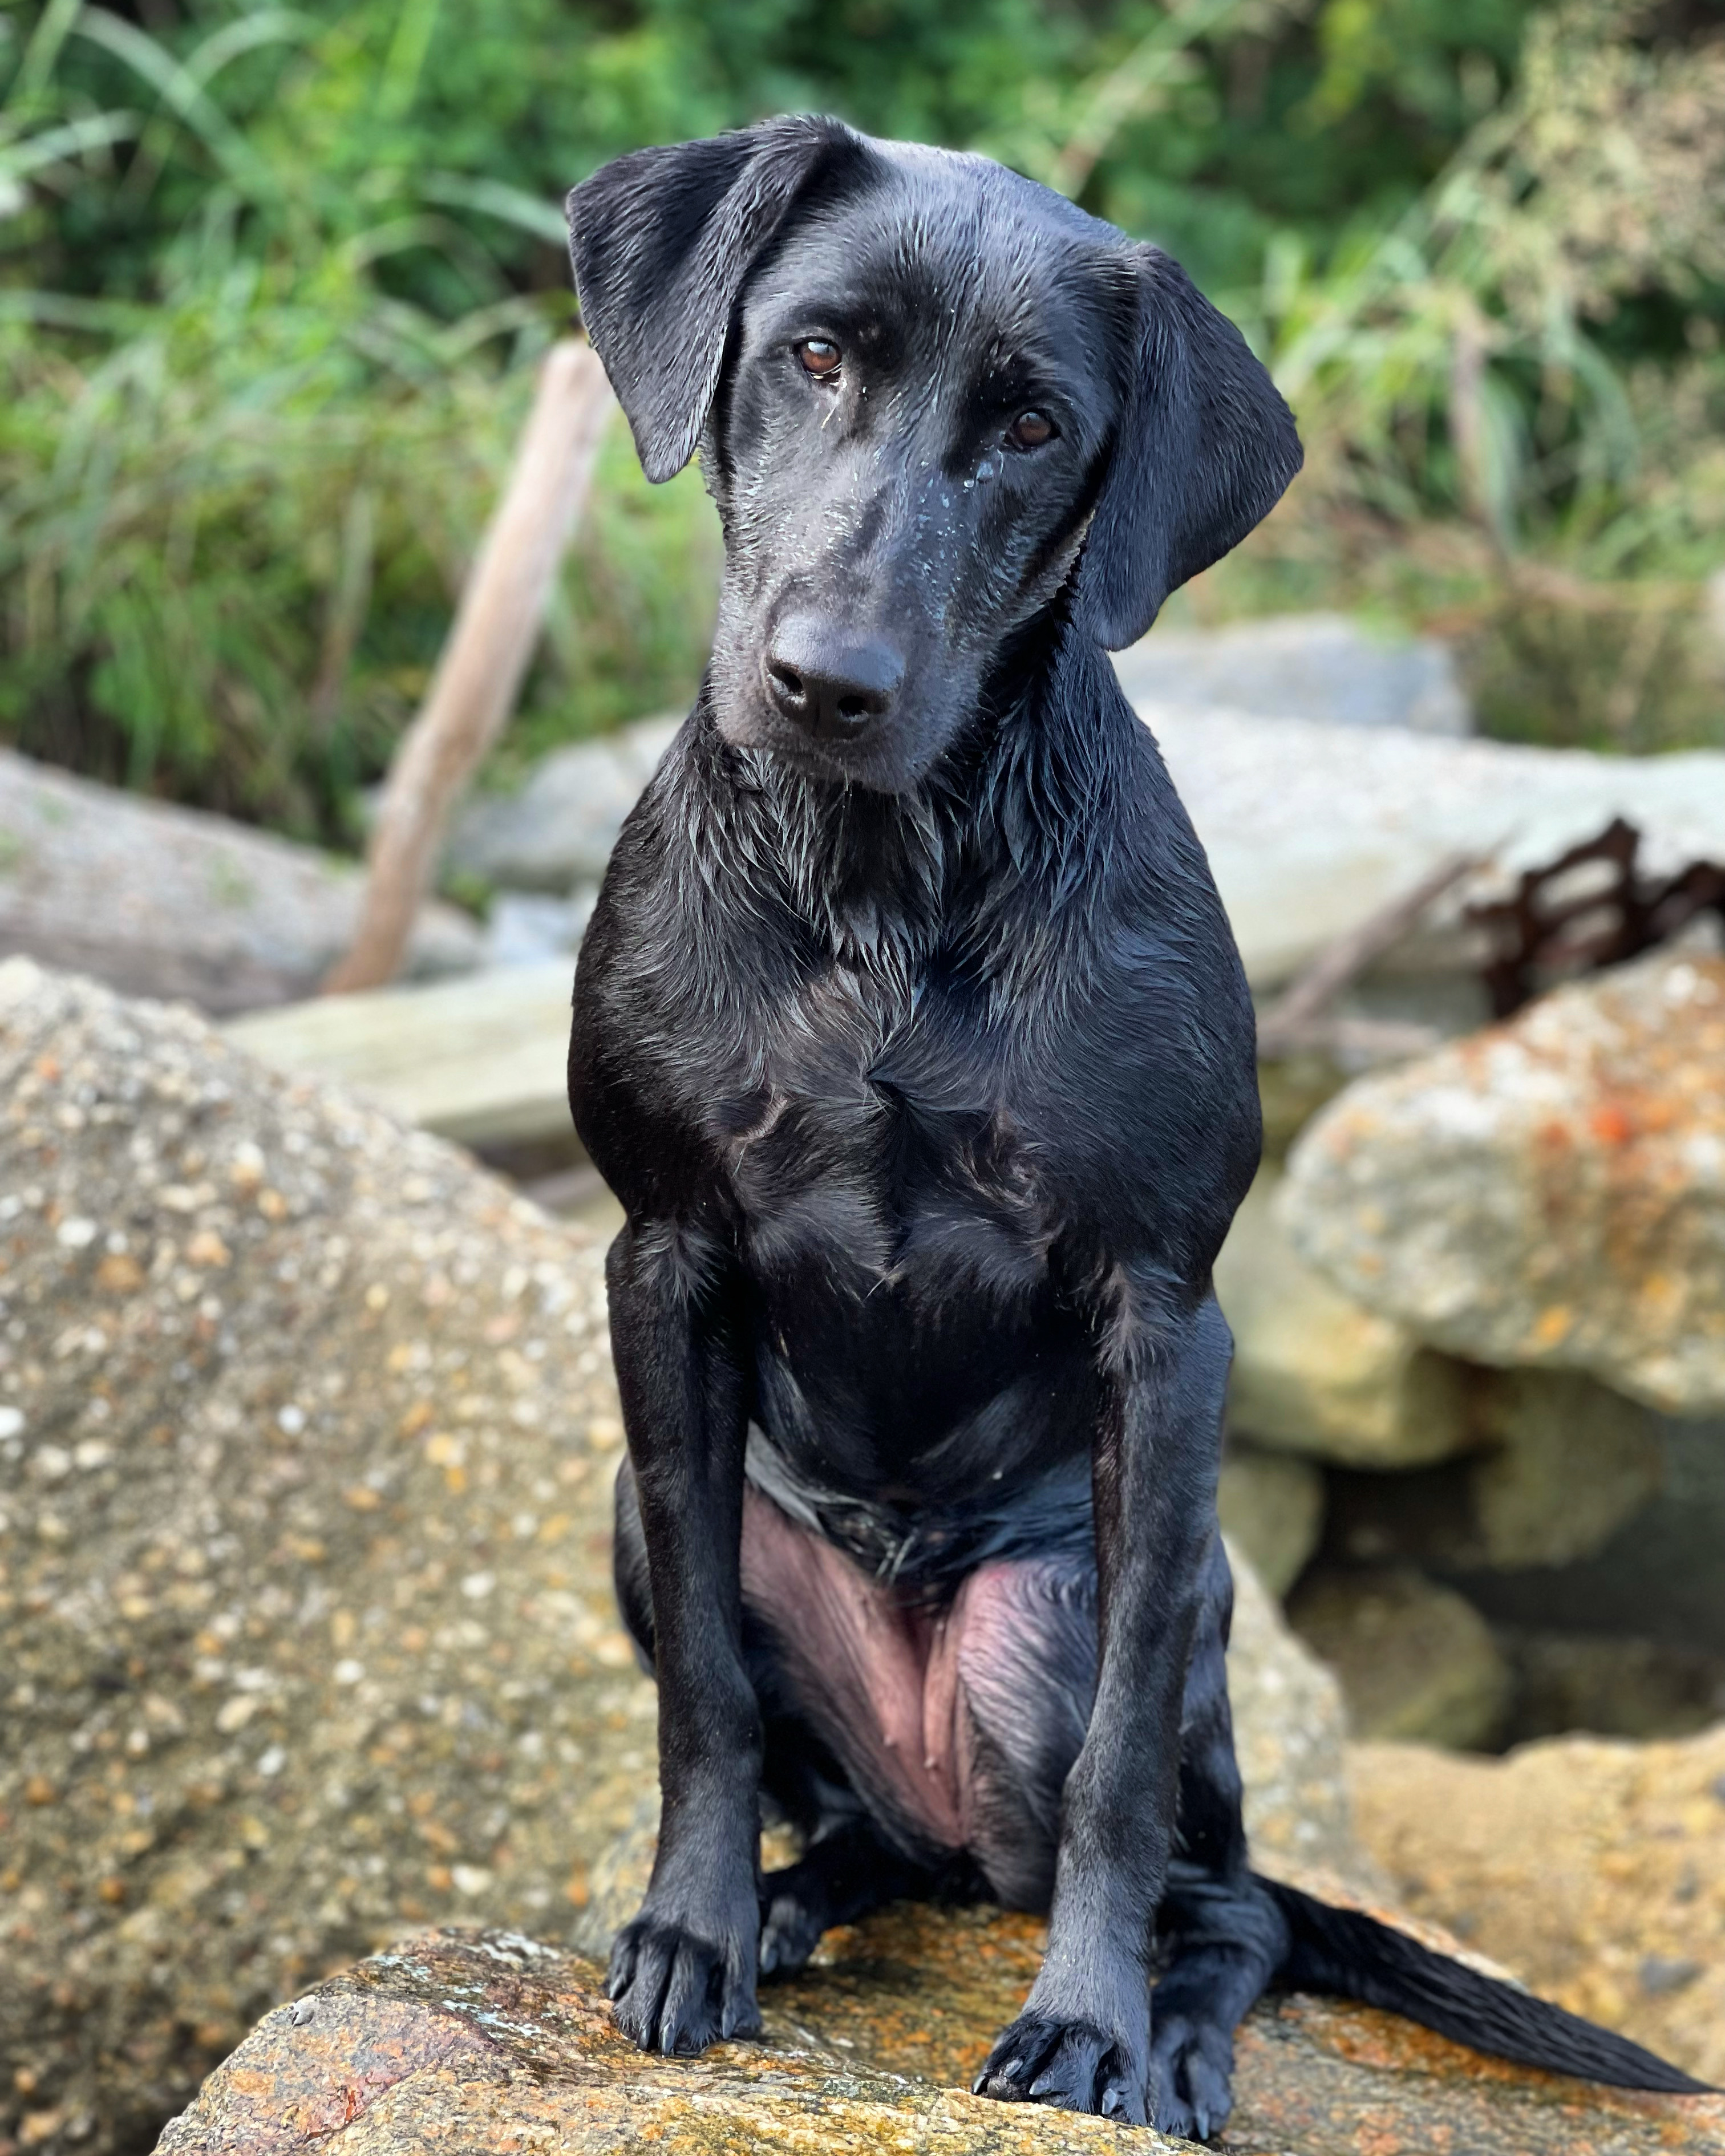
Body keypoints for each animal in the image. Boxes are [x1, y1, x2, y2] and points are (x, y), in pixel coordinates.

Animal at [560, 122, 1699, 2138]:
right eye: (814, 352)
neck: (885, 883)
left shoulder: (1164, 1321)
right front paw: (693, 1926)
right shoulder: (663, 1265)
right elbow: (702, 1687)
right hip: (641, 1508)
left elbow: (1114, 1779)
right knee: (869, 1820)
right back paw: (795, 1899)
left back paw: (1167, 2031)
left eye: (1031, 426)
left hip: (1090, 1619)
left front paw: (1090, 2024)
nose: (828, 682)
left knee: (1227, 1894)